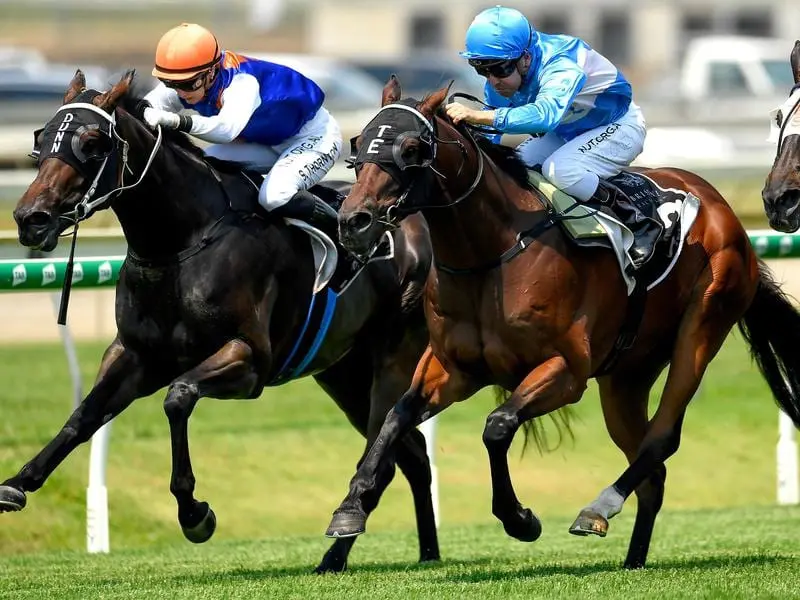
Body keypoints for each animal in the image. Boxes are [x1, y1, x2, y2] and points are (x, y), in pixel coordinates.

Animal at [1, 70, 438, 572]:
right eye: (42, 138)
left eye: (92, 142)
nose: (31, 218)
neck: (180, 242)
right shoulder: (135, 354)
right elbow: (84, 416)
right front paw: (17, 483)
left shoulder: (248, 360)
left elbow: (178, 398)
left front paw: (195, 514)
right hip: (343, 374)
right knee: (410, 455)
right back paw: (416, 552)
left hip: (392, 358)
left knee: (383, 458)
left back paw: (345, 548)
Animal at [324, 77, 800, 568]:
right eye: (359, 143)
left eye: (412, 148)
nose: (353, 220)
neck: (491, 255)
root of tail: (721, 206)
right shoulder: (453, 370)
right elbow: (395, 417)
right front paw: (350, 507)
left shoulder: (566, 371)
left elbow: (497, 426)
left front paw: (519, 518)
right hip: (626, 376)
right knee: (654, 470)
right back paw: (632, 559)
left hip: (703, 325)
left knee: (663, 437)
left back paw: (598, 508)